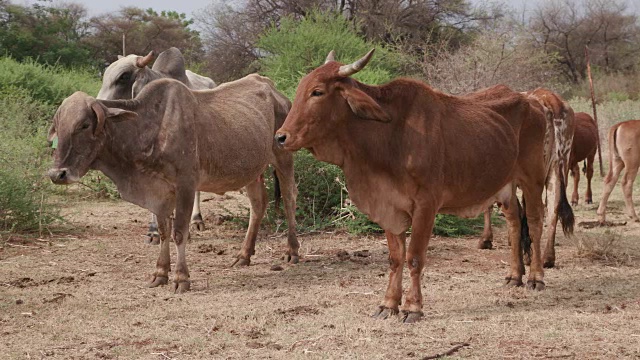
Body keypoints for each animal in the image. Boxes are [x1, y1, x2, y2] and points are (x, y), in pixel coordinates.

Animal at [46, 74, 302, 292]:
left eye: (84, 125)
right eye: (58, 127)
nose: (57, 174)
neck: (149, 127)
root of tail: (274, 90)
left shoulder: (186, 185)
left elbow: (179, 232)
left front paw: (181, 278)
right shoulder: (160, 192)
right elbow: (163, 231)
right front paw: (160, 273)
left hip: (283, 158)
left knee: (289, 199)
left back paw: (292, 250)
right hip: (251, 171)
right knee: (258, 205)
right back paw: (243, 255)